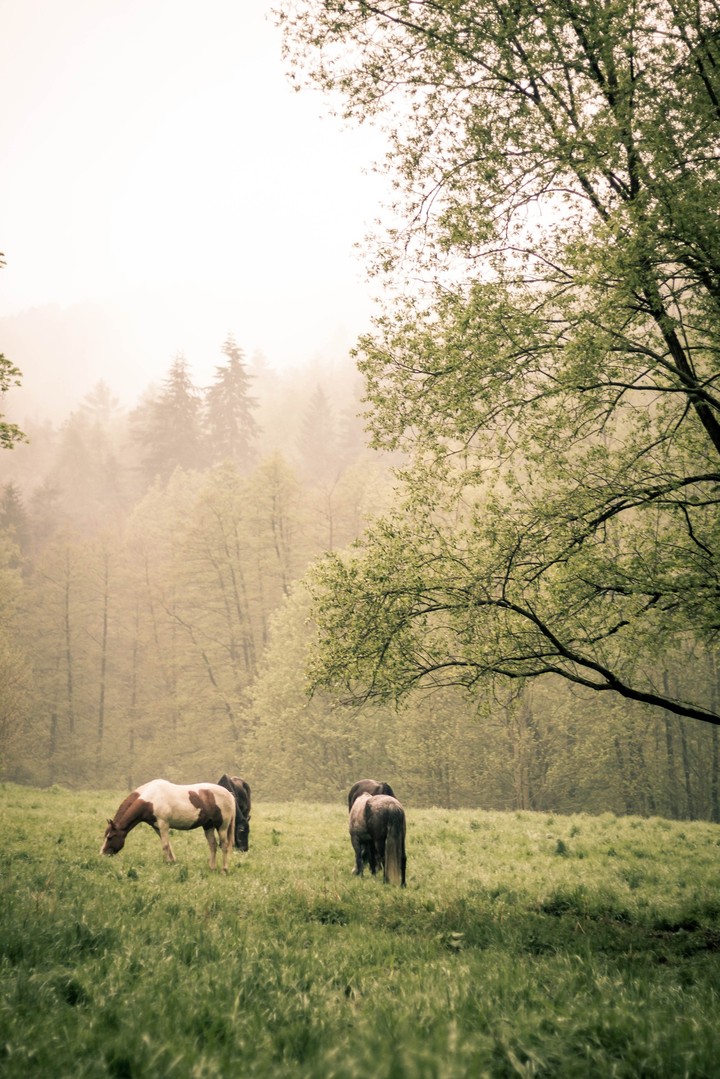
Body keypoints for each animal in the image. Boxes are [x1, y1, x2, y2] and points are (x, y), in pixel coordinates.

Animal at [100, 778, 235, 872]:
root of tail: (229, 794)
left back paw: (224, 869)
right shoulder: (157, 827)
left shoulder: (163, 824)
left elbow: (165, 845)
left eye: (110, 837)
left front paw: (166, 863)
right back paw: (212, 868)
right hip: (208, 826)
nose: (102, 854)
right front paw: (172, 862)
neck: (151, 799)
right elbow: (168, 844)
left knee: (224, 846)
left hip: (222, 827)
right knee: (213, 845)